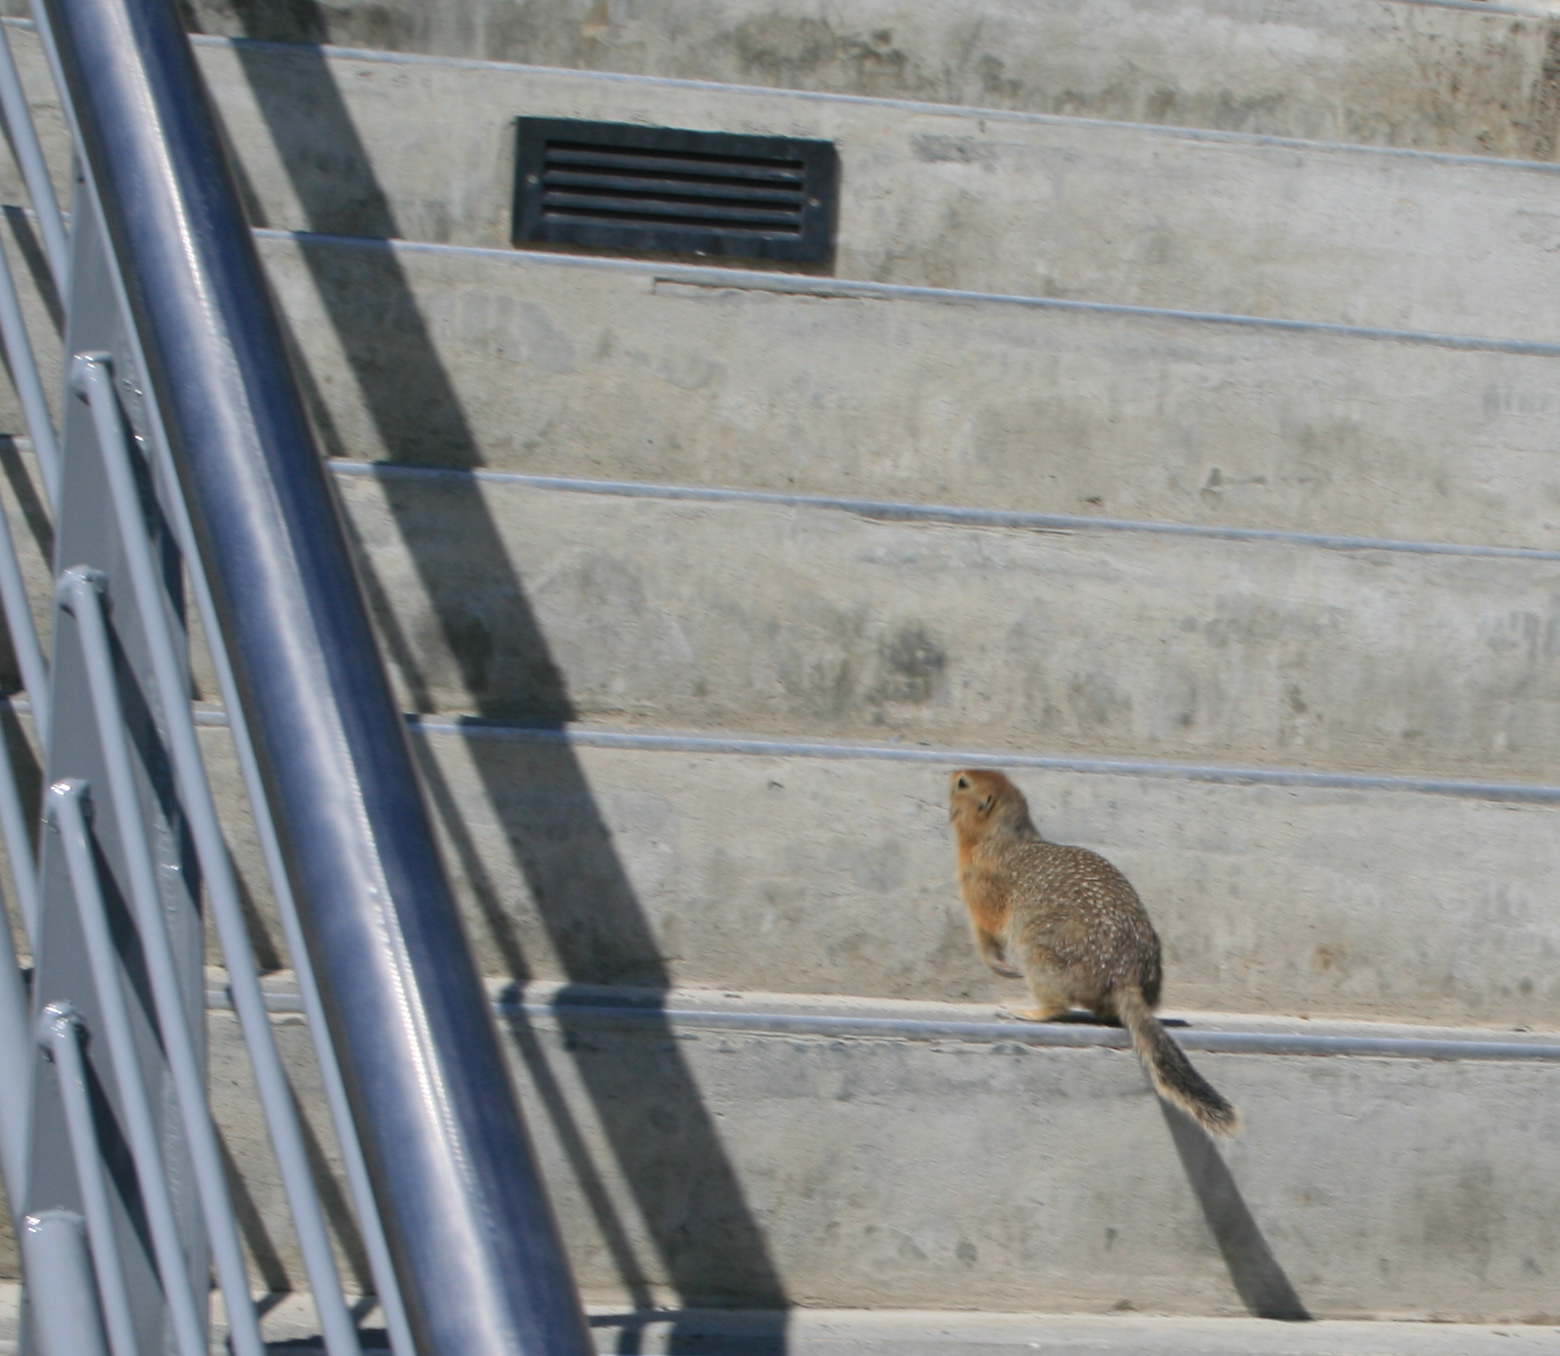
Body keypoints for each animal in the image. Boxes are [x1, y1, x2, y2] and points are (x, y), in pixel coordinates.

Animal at [949, 768, 1239, 1138]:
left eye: (964, 783)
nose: (951, 772)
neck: (1000, 837)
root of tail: (1125, 978)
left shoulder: (979, 886)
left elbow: (985, 932)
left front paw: (997, 964)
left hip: (1038, 953)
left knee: (1057, 1005)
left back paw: (1023, 1011)